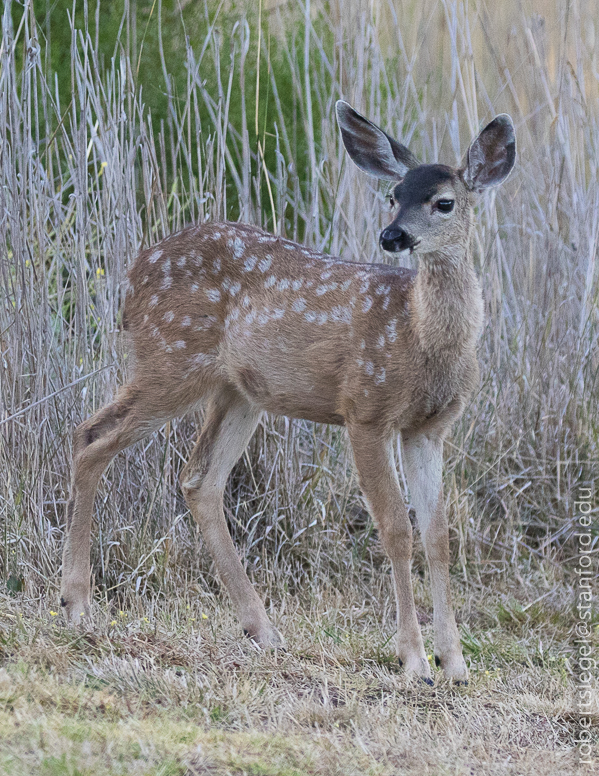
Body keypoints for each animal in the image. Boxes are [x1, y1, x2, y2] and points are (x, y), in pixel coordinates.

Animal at [59, 101, 516, 684]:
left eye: (444, 202)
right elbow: (396, 528)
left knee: (198, 479)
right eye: (392, 196)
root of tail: (131, 274)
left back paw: (263, 630)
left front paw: (454, 663)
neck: (420, 337)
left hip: (238, 392)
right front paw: (414, 660)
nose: (392, 236)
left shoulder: (429, 427)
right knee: (91, 436)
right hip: (171, 360)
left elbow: (437, 535)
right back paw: (76, 604)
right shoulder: (365, 409)